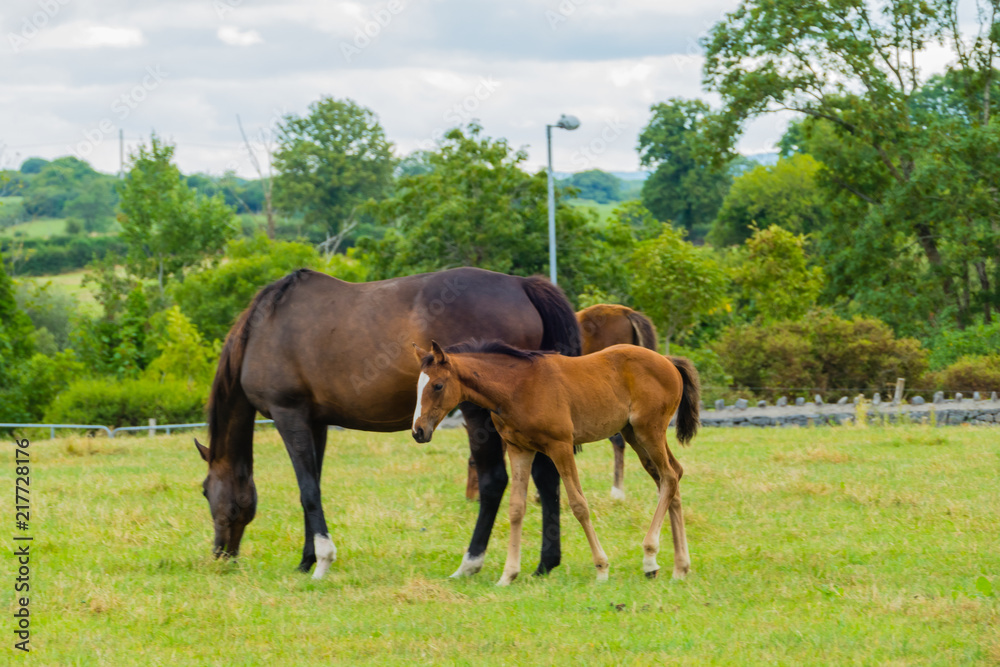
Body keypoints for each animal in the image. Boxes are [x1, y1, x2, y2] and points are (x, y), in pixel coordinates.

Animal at [410, 340, 700, 584]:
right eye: (417, 387)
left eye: (437, 385)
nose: (418, 431)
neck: (516, 386)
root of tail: (667, 361)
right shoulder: (519, 449)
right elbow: (516, 508)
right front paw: (508, 574)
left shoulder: (560, 446)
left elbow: (578, 504)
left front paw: (602, 568)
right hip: (634, 435)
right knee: (672, 478)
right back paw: (679, 567)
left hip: (648, 431)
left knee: (669, 477)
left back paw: (650, 558)